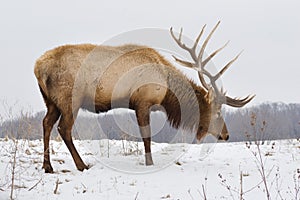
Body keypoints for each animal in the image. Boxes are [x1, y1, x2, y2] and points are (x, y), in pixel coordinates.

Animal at [34, 21, 253, 172]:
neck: (166, 91)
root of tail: (38, 68)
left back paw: (48, 166)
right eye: (217, 112)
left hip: (51, 101)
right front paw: (150, 162)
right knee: (64, 128)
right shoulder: (143, 102)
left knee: (46, 123)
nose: (226, 135)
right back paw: (81, 165)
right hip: (70, 99)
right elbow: (146, 136)